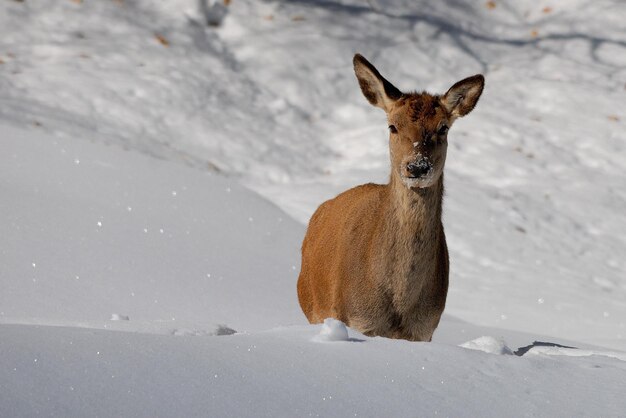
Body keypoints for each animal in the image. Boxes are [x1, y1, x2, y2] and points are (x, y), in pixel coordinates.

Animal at [296, 54, 482, 342]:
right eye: (392, 126)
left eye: (443, 128)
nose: (417, 166)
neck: (400, 306)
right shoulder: (358, 320)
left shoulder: (424, 330)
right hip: (313, 306)